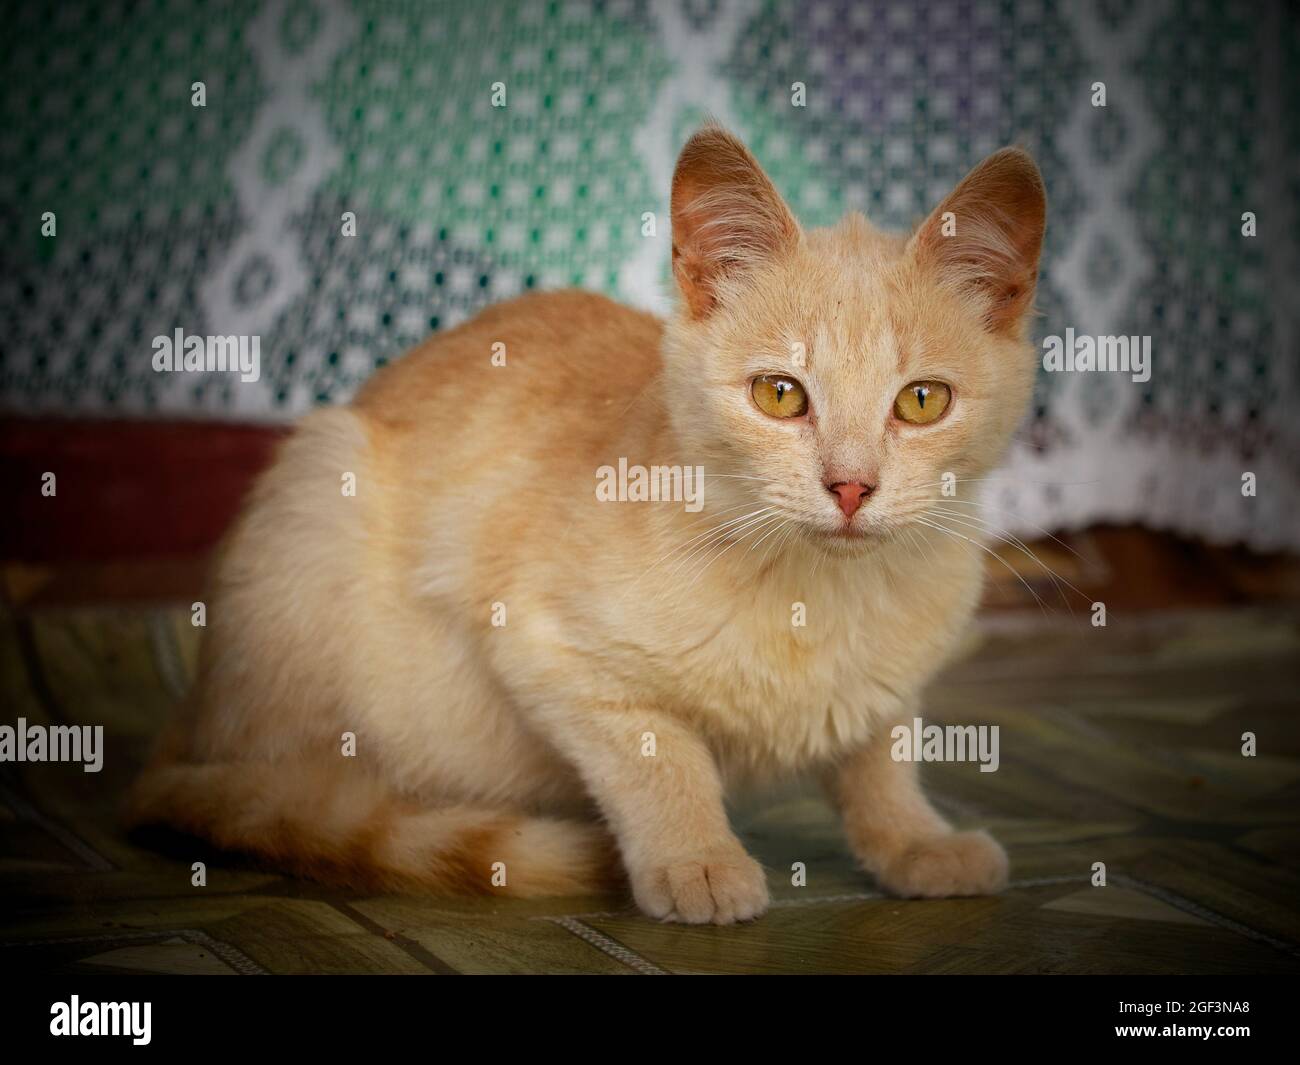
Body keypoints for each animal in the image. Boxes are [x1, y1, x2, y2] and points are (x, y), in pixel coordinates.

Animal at [129, 126, 1045, 925]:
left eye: (921, 401)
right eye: (780, 394)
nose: (851, 486)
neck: (815, 598)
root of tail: (188, 716)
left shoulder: (889, 683)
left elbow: (880, 757)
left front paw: (916, 842)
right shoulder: (549, 649)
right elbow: (657, 755)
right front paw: (695, 858)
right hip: (321, 484)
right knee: (302, 793)